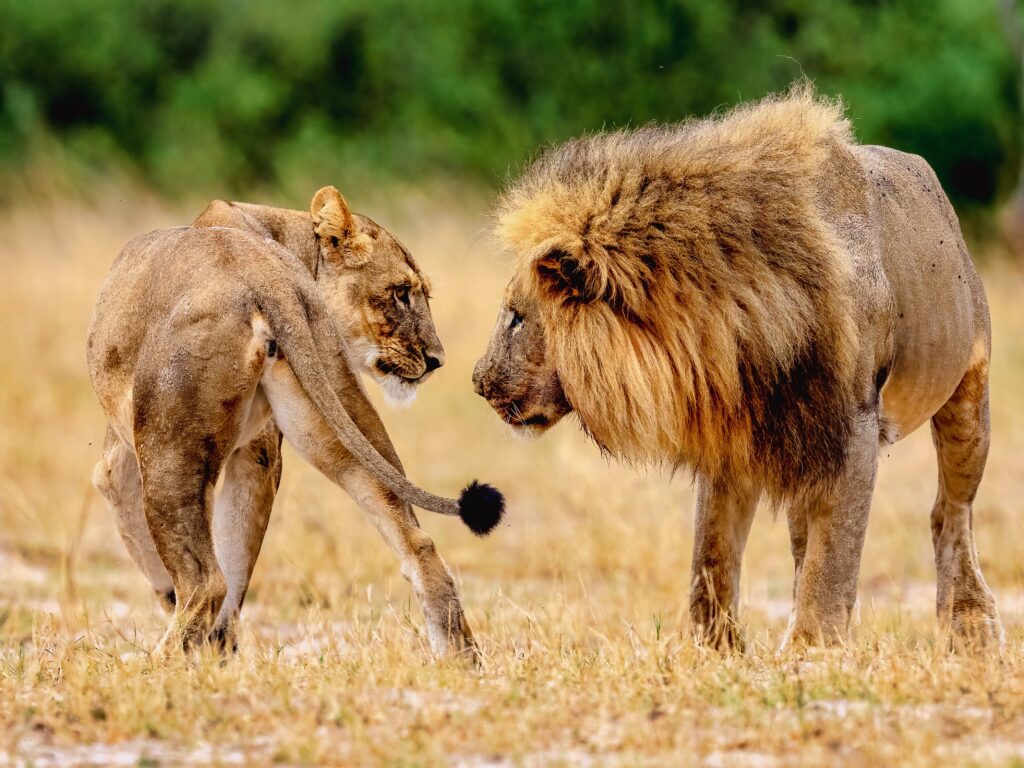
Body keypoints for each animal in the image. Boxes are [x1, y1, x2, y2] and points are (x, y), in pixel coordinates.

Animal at [88, 186, 503, 655]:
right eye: (400, 292)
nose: (437, 360)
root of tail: (262, 274)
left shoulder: (118, 460)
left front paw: (190, 622)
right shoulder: (262, 451)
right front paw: (221, 650)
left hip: (170, 449)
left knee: (206, 582)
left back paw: (159, 660)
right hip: (336, 407)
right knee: (417, 542)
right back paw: (460, 658)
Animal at [473, 86, 1001, 650]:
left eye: (516, 317)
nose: (477, 382)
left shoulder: (854, 427)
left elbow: (834, 556)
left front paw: (812, 647)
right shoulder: (732, 430)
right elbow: (712, 554)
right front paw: (715, 649)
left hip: (968, 401)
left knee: (950, 513)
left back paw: (972, 625)